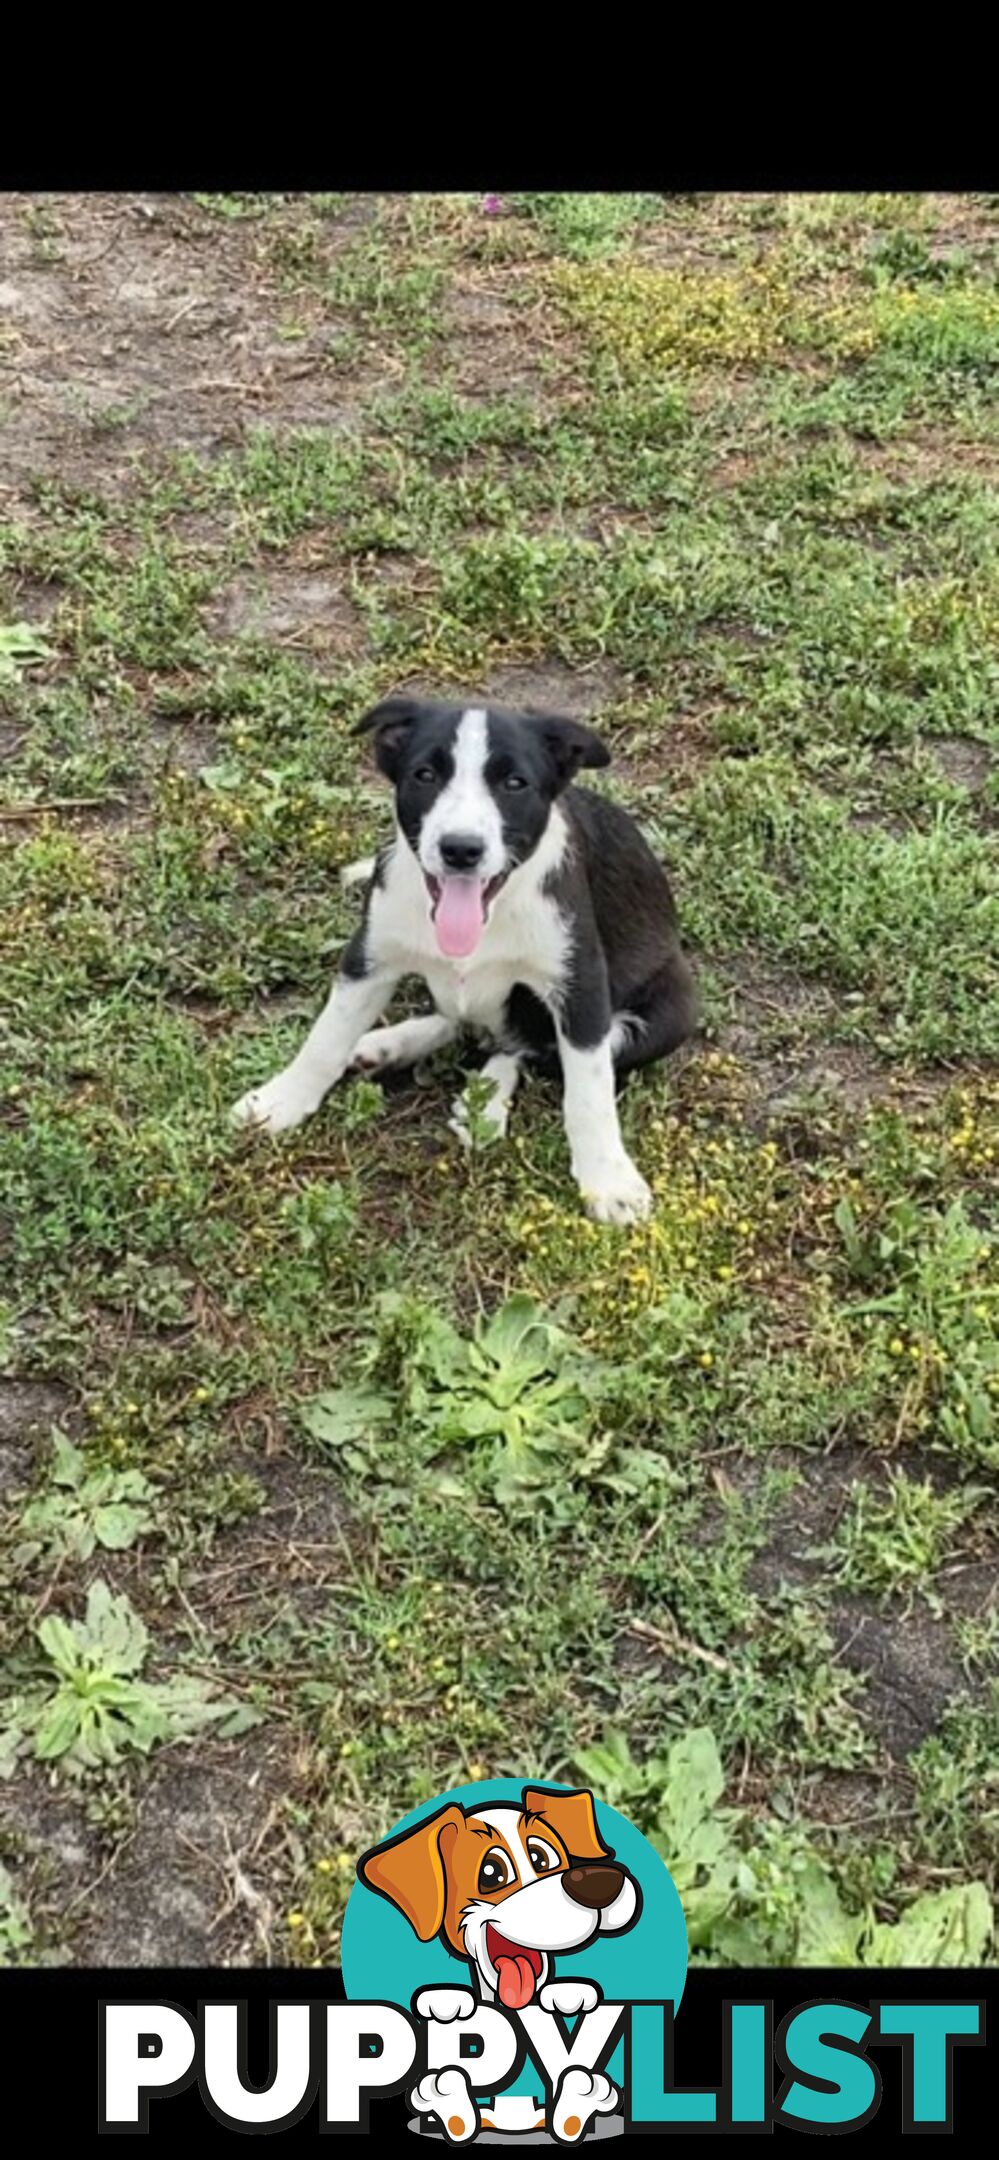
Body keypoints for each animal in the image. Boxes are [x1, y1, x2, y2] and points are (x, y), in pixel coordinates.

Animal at [232, 699, 696, 1226]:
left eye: (514, 783)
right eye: (425, 775)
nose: (460, 849)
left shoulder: (581, 985)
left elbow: (588, 1089)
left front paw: (608, 1180)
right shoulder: (368, 957)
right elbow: (325, 1039)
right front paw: (282, 1099)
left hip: (673, 1012)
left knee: (528, 1049)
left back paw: (486, 1101)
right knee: (464, 1023)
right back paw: (387, 1045)